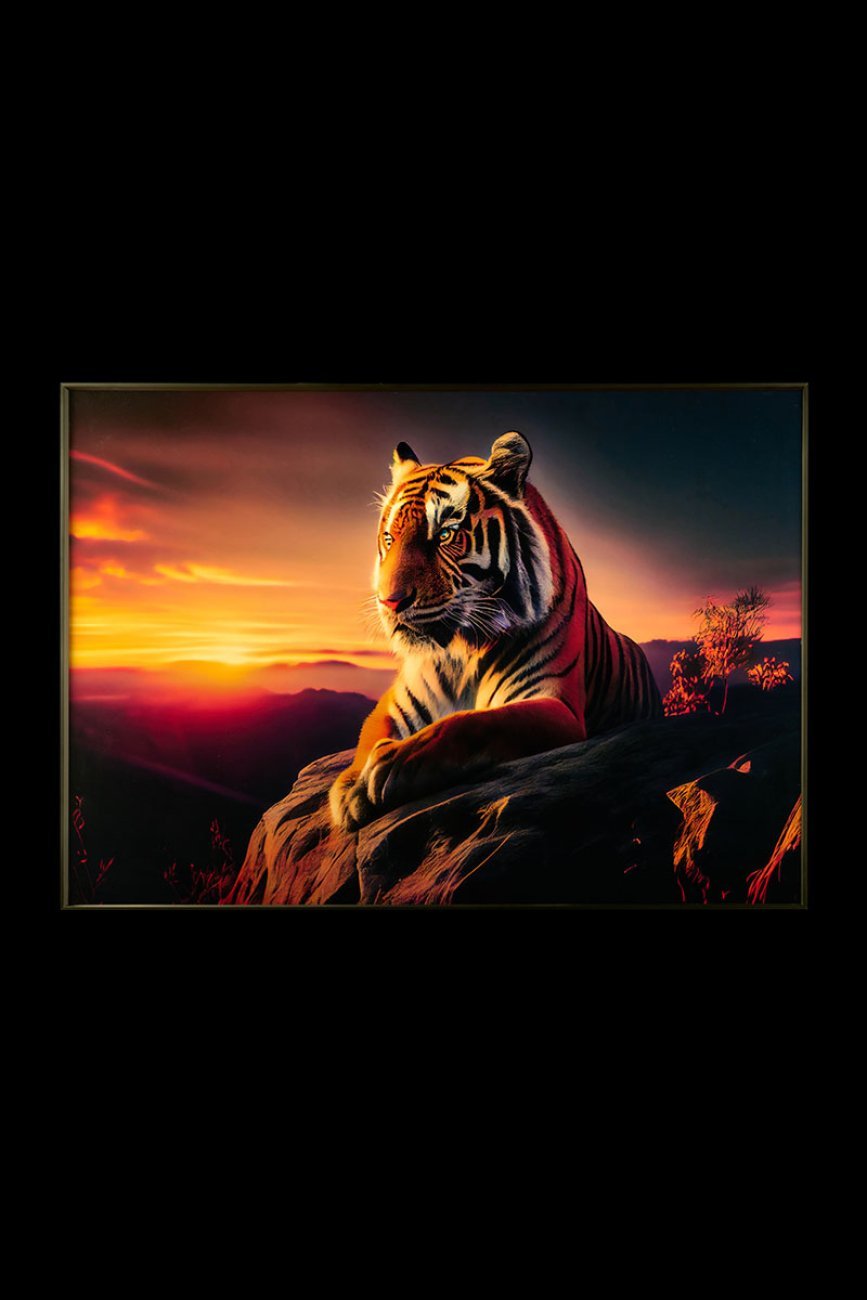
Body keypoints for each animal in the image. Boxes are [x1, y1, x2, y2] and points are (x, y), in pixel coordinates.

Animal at [329, 431, 662, 832]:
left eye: (446, 534)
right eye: (390, 538)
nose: (391, 601)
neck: (459, 650)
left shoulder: (555, 704)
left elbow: (470, 724)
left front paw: (391, 767)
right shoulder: (399, 703)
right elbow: (370, 733)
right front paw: (351, 787)